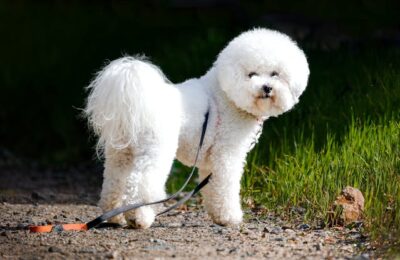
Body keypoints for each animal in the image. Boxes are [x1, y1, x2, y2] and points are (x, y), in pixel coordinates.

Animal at [84, 27, 310, 229]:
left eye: (275, 74)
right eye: (251, 74)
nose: (266, 88)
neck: (226, 96)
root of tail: (138, 102)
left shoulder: (211, 161)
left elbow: (212, 188)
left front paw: (219, 216)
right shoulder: (227, 154)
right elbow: (226, 186)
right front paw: (230, 217)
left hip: (121, 154)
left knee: (114, 183)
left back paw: (114, 216)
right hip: (156, 150)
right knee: (141, 183)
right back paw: (139, 218)